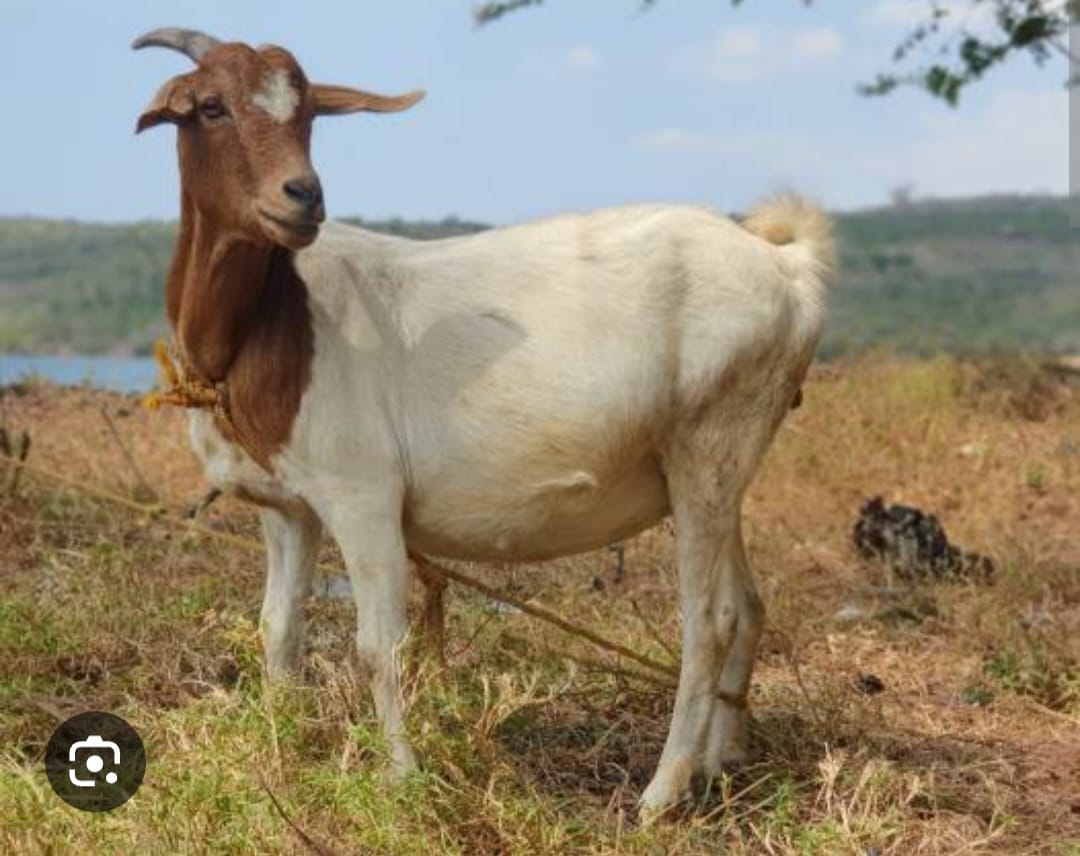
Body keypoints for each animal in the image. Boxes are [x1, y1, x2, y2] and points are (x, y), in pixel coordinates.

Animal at [133, 27, 835, 818]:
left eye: (309, 113)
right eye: (211, 106)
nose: (303, 196)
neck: (269, 325)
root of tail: (788, 268)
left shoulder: (363, 496)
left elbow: (381, 645)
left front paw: (400, 780)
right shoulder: (290, 508)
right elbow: (278, 632)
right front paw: (283, 762)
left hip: (708, 439)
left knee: (709, 622)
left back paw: (660, 795)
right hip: (726, 462)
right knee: (747, 604)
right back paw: (721, 765)